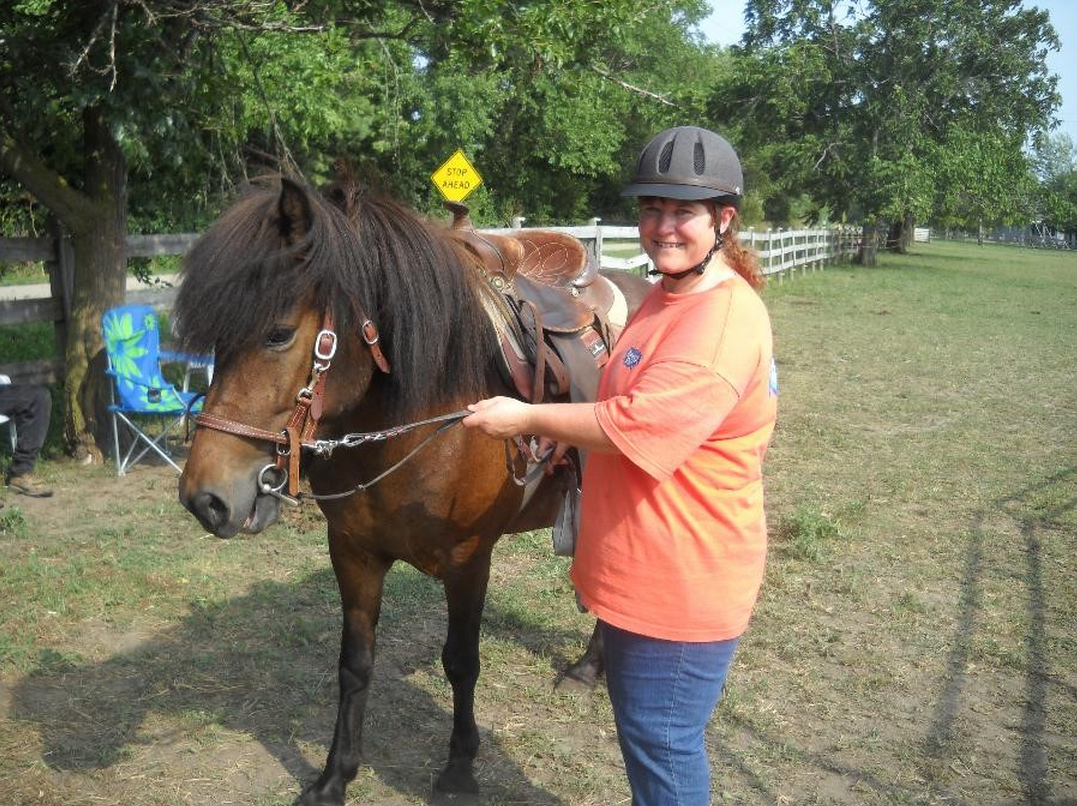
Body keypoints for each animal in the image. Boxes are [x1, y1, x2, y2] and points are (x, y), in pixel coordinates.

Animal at [175, 177, 646, 806]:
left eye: (278, 333)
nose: (205, 499)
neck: (421, 417)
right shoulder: (353, 551)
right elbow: (354, 663)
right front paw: (334, 776)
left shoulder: (469, 559)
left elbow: (461, 662)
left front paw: (459, 771)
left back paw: (588, 670)